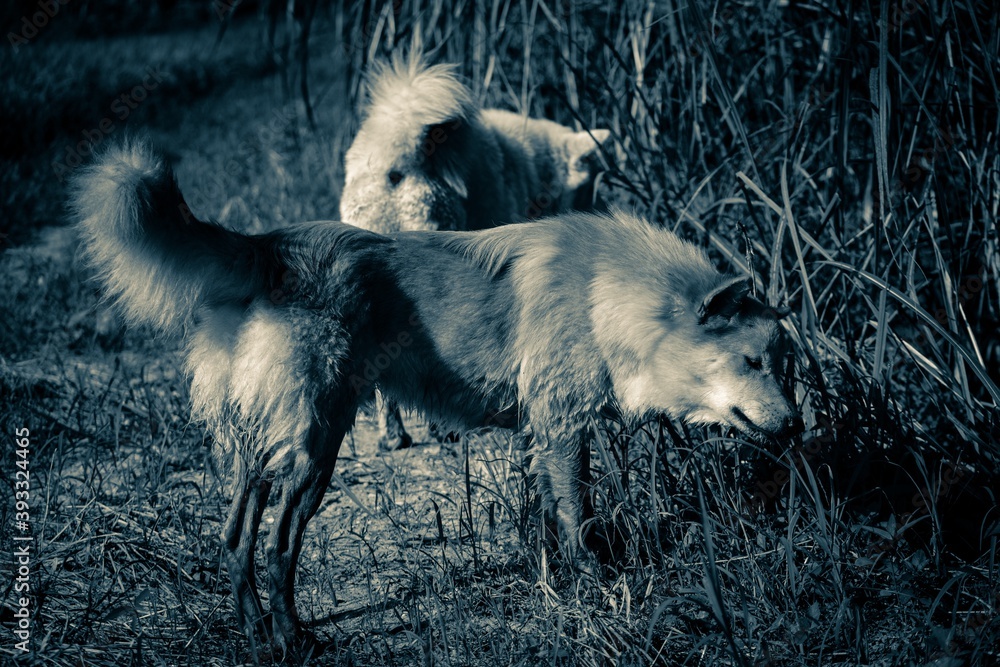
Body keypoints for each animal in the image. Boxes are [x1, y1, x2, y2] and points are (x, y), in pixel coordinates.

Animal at [72, 140, 802, 655]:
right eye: (751, 362)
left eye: (786, 368)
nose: (797, 427)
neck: (606, 294)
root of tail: (271, 244)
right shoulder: (563, 431)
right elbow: (580, 521)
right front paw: (598, 584)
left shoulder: (541, 436)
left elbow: (546, 525)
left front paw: (551, 586)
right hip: (316, 450)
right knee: (279, 546)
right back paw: (291, 638)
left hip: (268, 448)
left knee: (235, 537)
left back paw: (254, 631)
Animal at [340, 56, 611, 449]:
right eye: (590, 184)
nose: (601, 211)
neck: (537, 169)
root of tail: (395, 159)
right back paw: (440, 431)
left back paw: (394, 437)